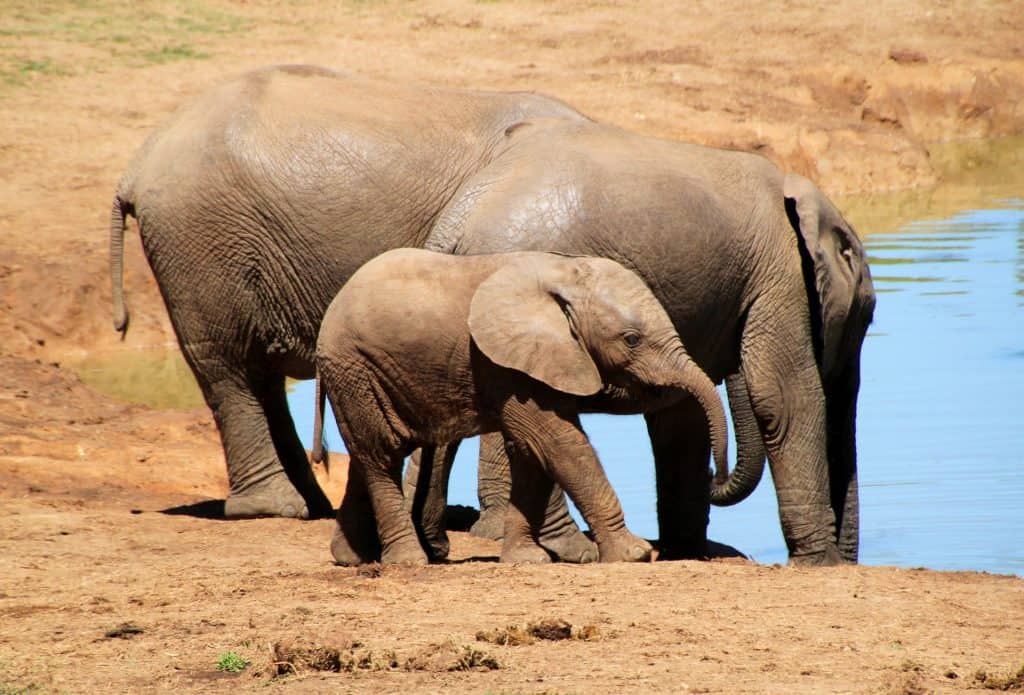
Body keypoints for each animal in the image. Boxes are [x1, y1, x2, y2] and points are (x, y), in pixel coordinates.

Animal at [313, 248, 729, 565]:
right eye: (631, 339)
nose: (716, 481)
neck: (565, 276)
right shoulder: (506, 363)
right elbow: (557, 442)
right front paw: (634, 555)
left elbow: (532, 452)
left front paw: (527, 560)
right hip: (353, 367)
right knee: (381, 456)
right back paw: (409, 561)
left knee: (367, 455)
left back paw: (352, 558)